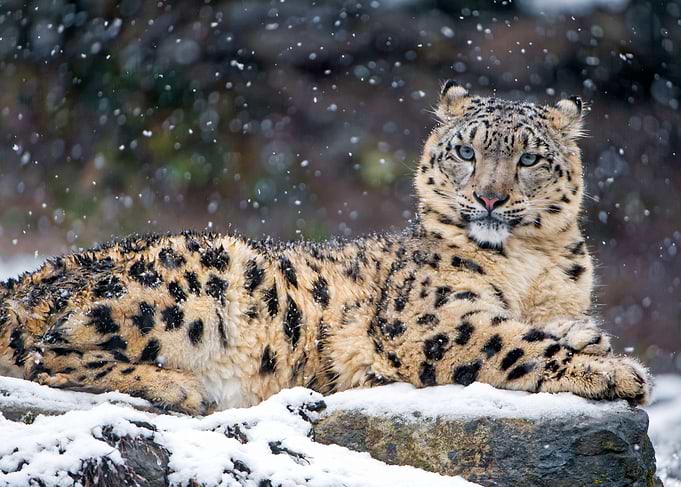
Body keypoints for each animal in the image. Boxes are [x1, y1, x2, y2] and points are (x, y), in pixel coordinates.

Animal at [0, 82, 651, 415]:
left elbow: (541, 327)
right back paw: (177, 387)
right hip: (194, 284)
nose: (489, 198)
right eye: (466, 151)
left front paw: (590, 336)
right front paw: (616, 372)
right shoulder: (431, 319)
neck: (530, 267)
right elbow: (514, 343)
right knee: (47, 354)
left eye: (530, 158)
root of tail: (28, 277)